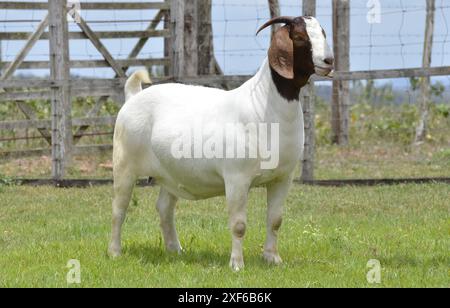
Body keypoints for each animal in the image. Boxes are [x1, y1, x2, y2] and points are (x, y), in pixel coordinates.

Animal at [109, 15, 334, 270]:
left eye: (323, 33)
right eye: (299, 36)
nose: (328, 61)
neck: (263, 105)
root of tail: (133, 97)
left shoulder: (282, 178)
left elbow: (275, 220)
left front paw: (273, 259)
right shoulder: (237, 178)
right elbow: (238, 225)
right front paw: (237, 264)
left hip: (170, 173)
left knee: (164, 208)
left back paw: (175, 250)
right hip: (125, 164)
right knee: (119, 209)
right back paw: (115, 252)